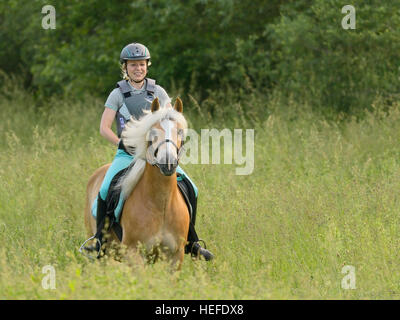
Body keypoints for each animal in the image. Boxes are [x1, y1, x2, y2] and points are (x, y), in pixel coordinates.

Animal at [82, 97, 189, 270]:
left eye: (179, 131)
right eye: (153, 133)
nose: (168, 163)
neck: (162, 204)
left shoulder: (175, 256)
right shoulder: (134, 253)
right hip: (102, 251)